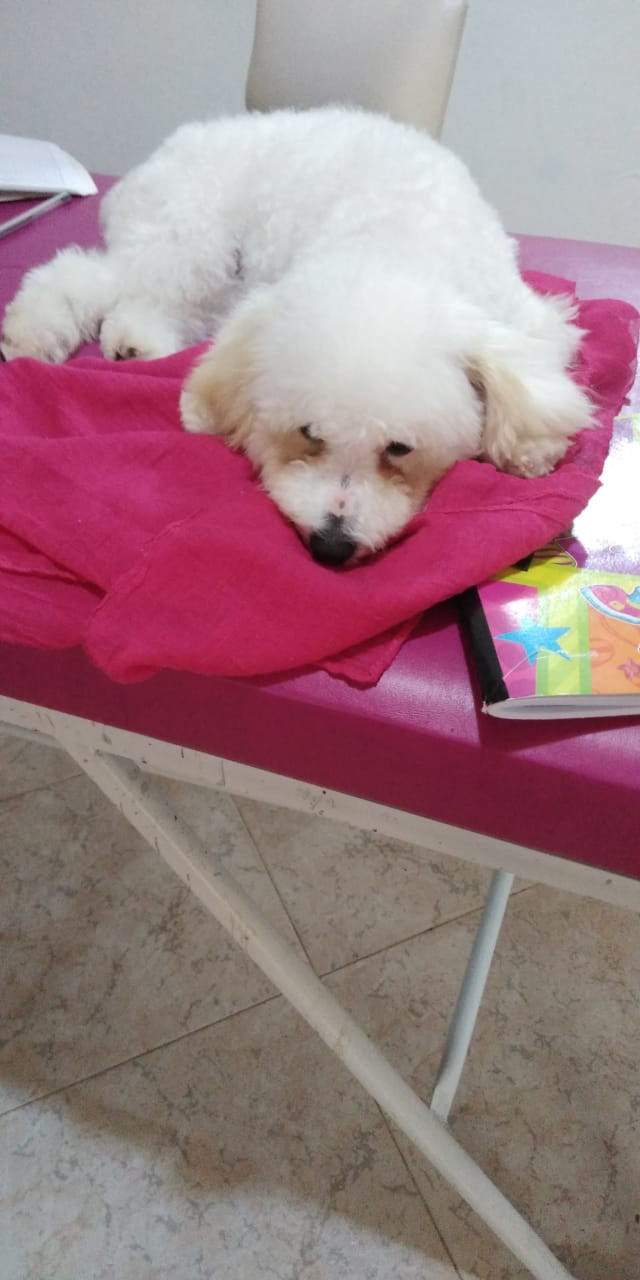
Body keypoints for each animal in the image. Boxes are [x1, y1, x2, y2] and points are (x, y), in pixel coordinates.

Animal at [1, 107, 592, 564]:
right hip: (188, 237)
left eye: (399, 448)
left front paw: (530, 450)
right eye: (309, 433)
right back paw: (33, 333)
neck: (393, 250)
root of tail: (169, 149)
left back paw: (136, 343)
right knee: (86, 275)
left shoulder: (524, 317)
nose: (331, 546)